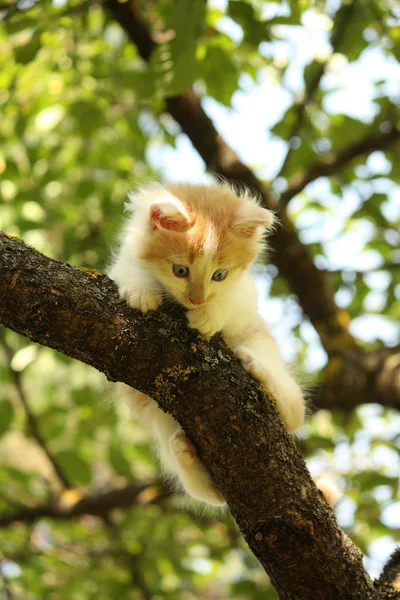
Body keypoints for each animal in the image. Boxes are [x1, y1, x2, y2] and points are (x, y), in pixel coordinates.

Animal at [108, 179, 304, 506]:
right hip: (158, 417)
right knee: (209, 493)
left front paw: (208, 315)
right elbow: (131, 271)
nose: (197, 299)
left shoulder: (245, 295)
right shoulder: (123, 262)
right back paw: (185, 452)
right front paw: (142, 293)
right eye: (180, 271)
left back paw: (258, 371)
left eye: (219, 275)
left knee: (295, 410)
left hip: (262, 348)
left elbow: (230, 302)